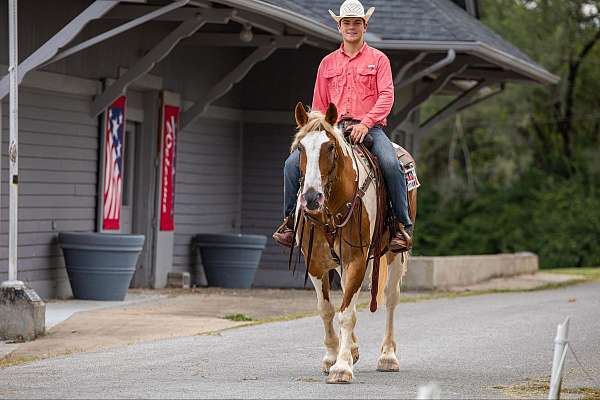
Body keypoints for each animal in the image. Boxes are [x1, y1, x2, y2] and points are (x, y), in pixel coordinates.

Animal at [290, 101, 418, 382]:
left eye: (329, 147)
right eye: (300, 148)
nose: (311, 197)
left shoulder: (356, 259)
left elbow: (347, 314)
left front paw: (341, 367)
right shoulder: (315, 262)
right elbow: (327, 309)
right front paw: (332, 357)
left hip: (394, 254)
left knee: (391, 298)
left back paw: (388, 356)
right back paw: (354, 349)